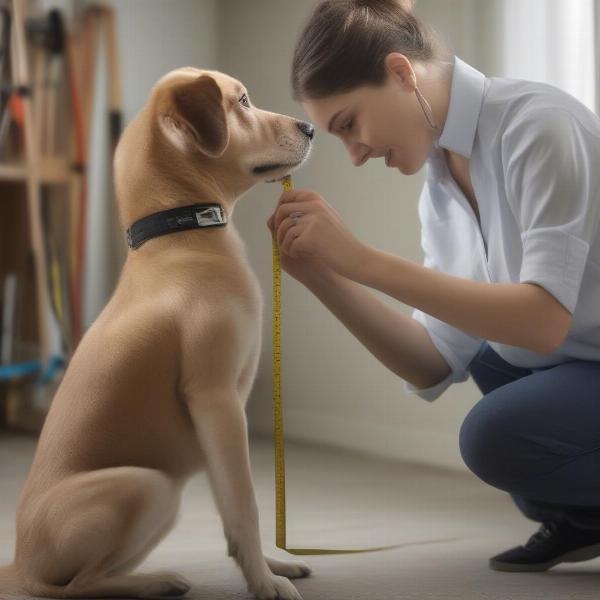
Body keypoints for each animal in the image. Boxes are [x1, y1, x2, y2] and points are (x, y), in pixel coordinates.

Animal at [0, 67, 316, 600]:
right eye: (243, 102)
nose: (310, 127)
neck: (180, 237)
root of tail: (19, 564)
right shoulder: (216, 400)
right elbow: (246, 504)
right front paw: (264, 582)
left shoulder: (219, 421)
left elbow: (231, 510)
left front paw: (268, 566)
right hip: (148, 485)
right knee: (78, 585)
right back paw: (156, 581)